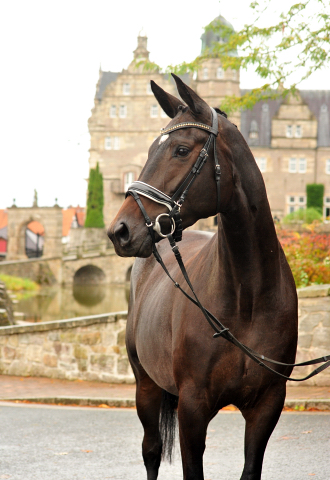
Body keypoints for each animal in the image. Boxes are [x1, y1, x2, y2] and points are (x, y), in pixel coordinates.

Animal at [107, 73, 298, 478]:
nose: (120, 231)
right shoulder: (193, 408)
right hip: (146, 385)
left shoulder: (267, 407)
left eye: (180, 150)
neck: (247, 296)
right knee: (151, 451)